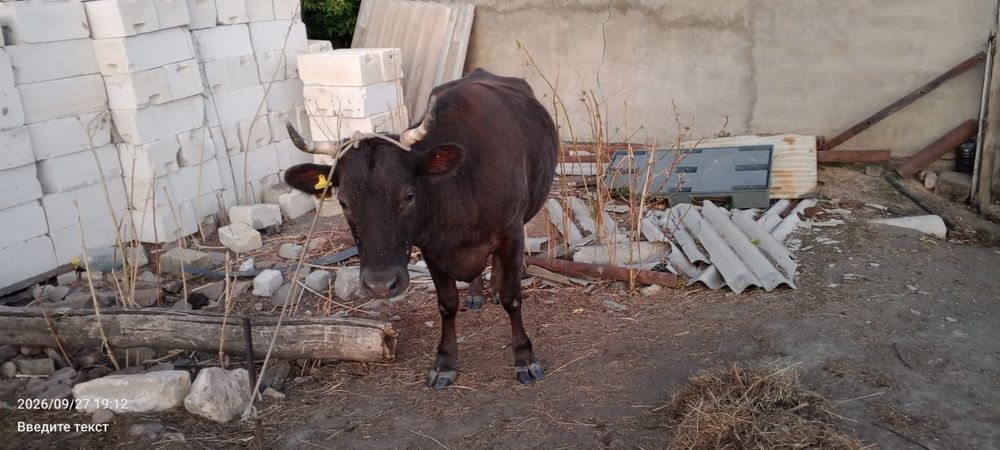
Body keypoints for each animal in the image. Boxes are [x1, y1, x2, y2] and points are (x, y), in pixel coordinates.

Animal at [282, 68, 558, 388]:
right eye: (343, 201)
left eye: (409, 195)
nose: (380, 285)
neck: (460, 187)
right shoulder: (432, 248)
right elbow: (447, 304)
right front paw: (445, 361)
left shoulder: (511, 232)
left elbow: (512, 298)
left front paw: (525, 358)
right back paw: (476, 292)